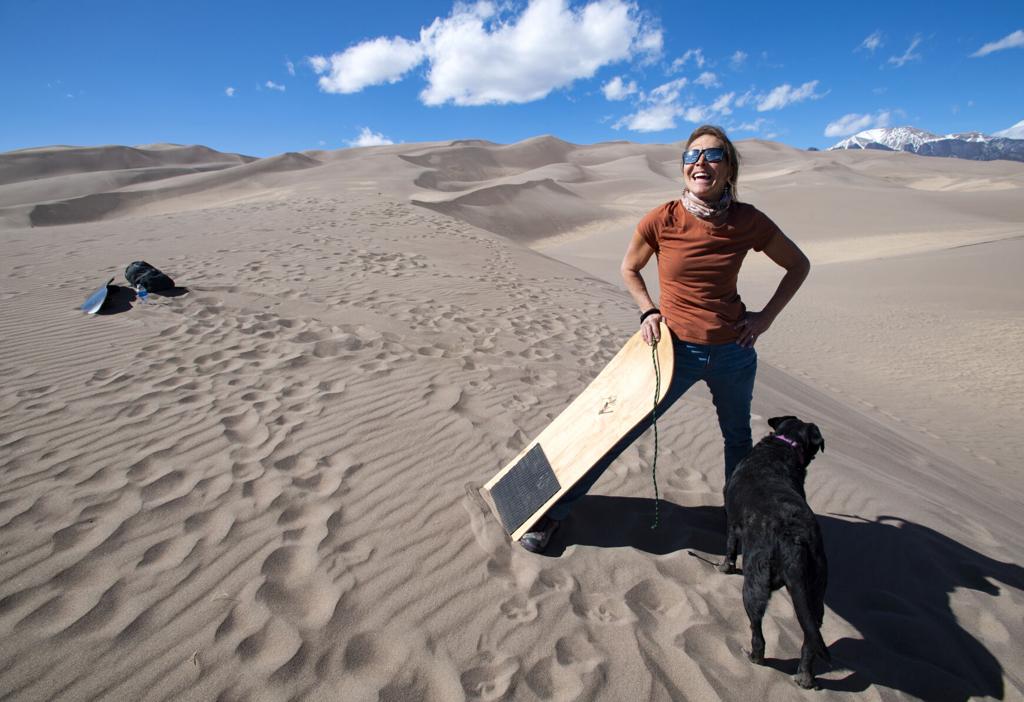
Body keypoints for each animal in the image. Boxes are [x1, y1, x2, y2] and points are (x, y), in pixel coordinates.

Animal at [720, 415, 831, 691]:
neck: (783, 447)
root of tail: (795, 542)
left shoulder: (733, 523)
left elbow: (730, 548)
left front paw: (725, 567)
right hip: (815, 595)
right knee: (810, 638)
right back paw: (805, 677)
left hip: (755, 583)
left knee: (757, 630)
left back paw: (754, 657)